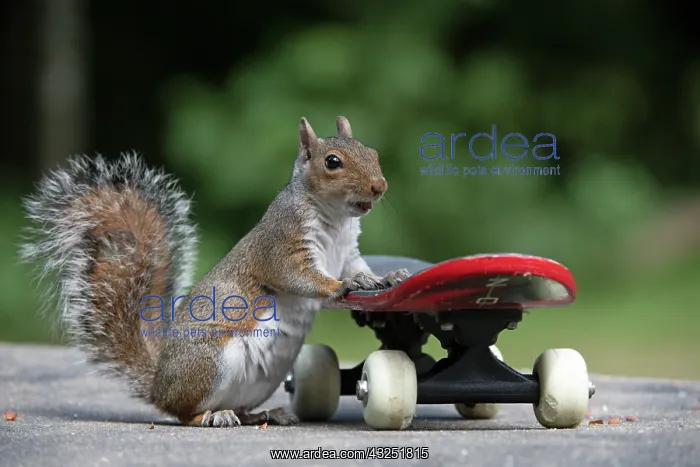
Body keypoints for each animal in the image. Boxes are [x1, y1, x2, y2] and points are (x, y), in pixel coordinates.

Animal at [19, 115, 411, 428]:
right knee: (184, 413)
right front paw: (339, 286)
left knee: (238, 408)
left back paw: (263, 414)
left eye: (372, 152)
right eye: (332, 162)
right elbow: (299, 278)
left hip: (259, 381)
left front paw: (383, 278)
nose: (380, 186)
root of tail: (159, 386)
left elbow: (359, 269)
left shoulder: (348, 253)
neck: (335, 222)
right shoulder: (281, 246)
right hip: (209, 364)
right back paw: (212, 416)